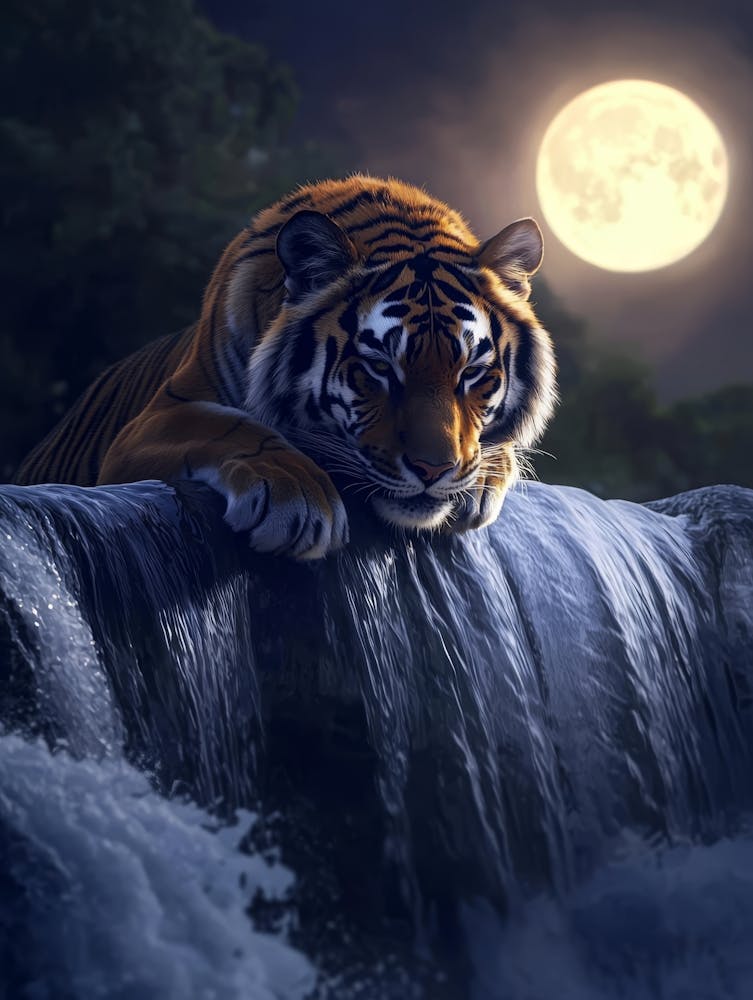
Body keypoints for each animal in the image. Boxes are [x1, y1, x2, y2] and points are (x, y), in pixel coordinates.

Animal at [16, 175, 557, 559]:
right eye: (380, 368)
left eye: (472, 374)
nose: (434, 469)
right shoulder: (155, 420)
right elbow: (231, 427)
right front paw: (297, 498)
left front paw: (482, 475)